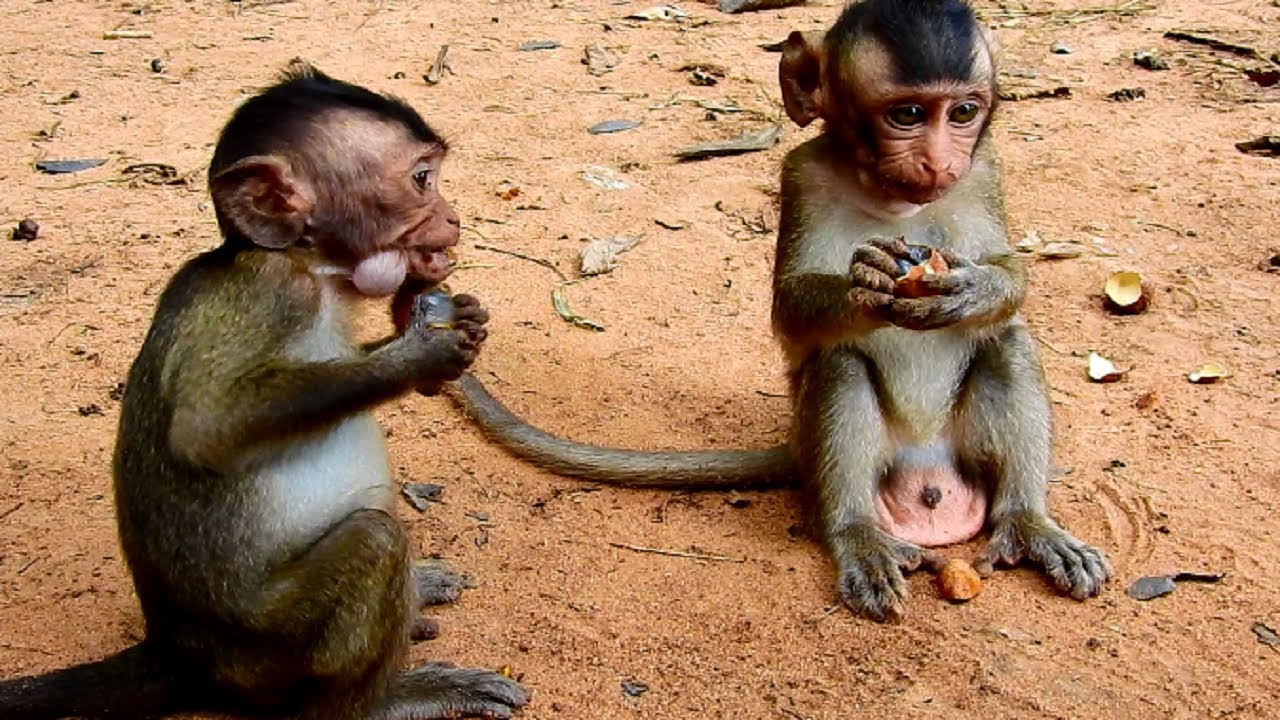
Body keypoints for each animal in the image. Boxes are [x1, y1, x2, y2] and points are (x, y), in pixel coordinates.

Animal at [0, 62, 528, 719]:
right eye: (421, 179)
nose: (453, 218)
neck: (316, 272)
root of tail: (176, 651)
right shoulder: (273, 292)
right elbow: (207, 427)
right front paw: (422, 352)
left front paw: (460, 321)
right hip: (269, 650)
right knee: (374, 542)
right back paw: (389, 697)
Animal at [450, 0, 1109, 622]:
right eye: (907, 116)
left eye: (963, 113)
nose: (937, 164)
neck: (893, 203)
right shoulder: (802, 177)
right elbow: (790, 311)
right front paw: (867, 280)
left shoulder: (984, 171)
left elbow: (1010, 276)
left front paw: (975, 288)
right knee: (840, 364)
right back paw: (855, 535)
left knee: (1007, 341)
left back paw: (1029, 521)